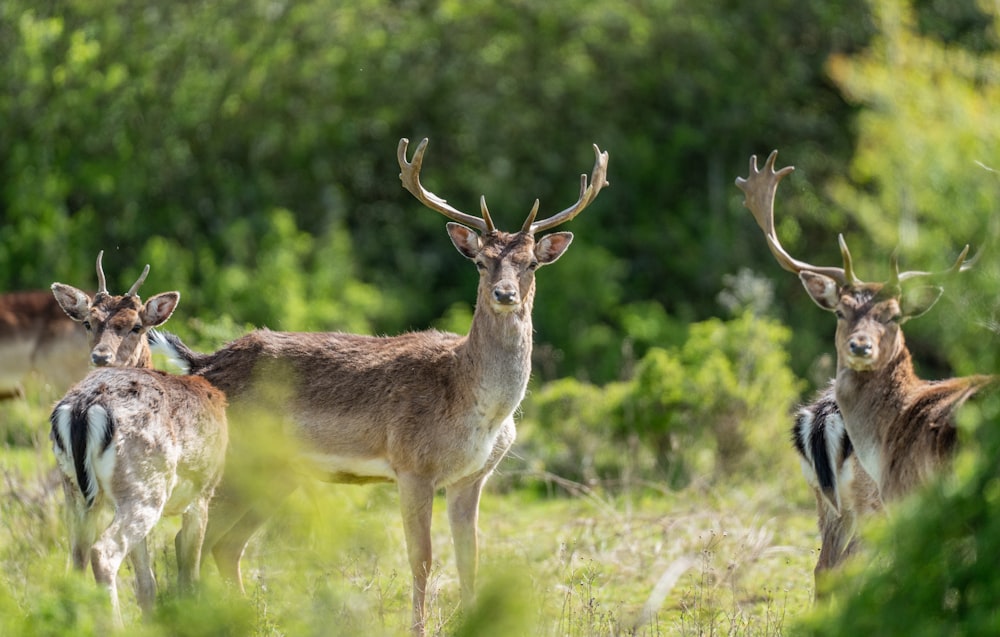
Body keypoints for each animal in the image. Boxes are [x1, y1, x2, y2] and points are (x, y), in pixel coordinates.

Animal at [152, 137, 608, 632]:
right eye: (481, 262)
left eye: (530, 264)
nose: (504, 294)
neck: (475, 403)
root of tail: (200, 364)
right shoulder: (413, 465)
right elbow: (422, 559)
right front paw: (419, 629)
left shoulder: (473, 477)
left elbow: (470, 559)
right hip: (237, 460)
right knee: (190, 540)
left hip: (277, 472)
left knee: (224, 544)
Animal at [736, 149, 992, 580]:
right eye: (840, 311)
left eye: (894, 315)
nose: (861, 346)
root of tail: (819, 419)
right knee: (839, 565)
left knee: (828, 566)